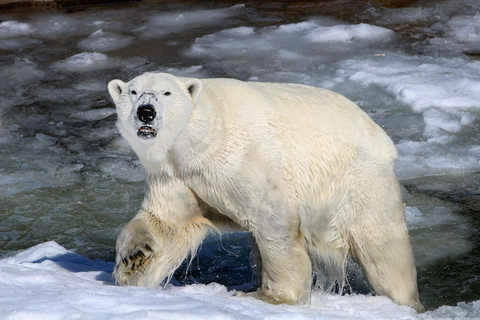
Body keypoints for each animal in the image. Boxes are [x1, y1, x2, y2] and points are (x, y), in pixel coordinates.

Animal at [108, 72, 424, 312]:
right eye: (133, 91)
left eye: (166, 93)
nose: (146, 112)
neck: (197, 140)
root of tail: (382, 138)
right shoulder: (175, 174)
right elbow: (166, 223)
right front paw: (134, 258)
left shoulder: (244, 159)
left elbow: (273, 221)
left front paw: (271, 297)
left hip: (359, 185)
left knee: (385, 252)